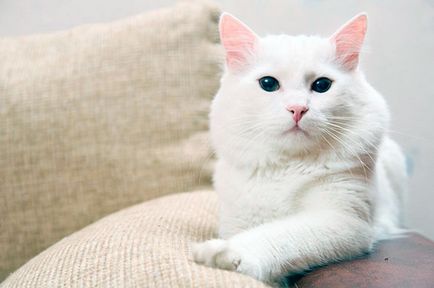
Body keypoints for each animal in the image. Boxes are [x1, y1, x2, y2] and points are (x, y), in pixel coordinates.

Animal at [193, 12, 406, 284]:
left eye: (322, 85)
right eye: (268, 83)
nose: (297, 109)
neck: (288, 165)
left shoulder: (343, 219)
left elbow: (279, 235)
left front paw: (226, 253)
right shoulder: (236, 220)